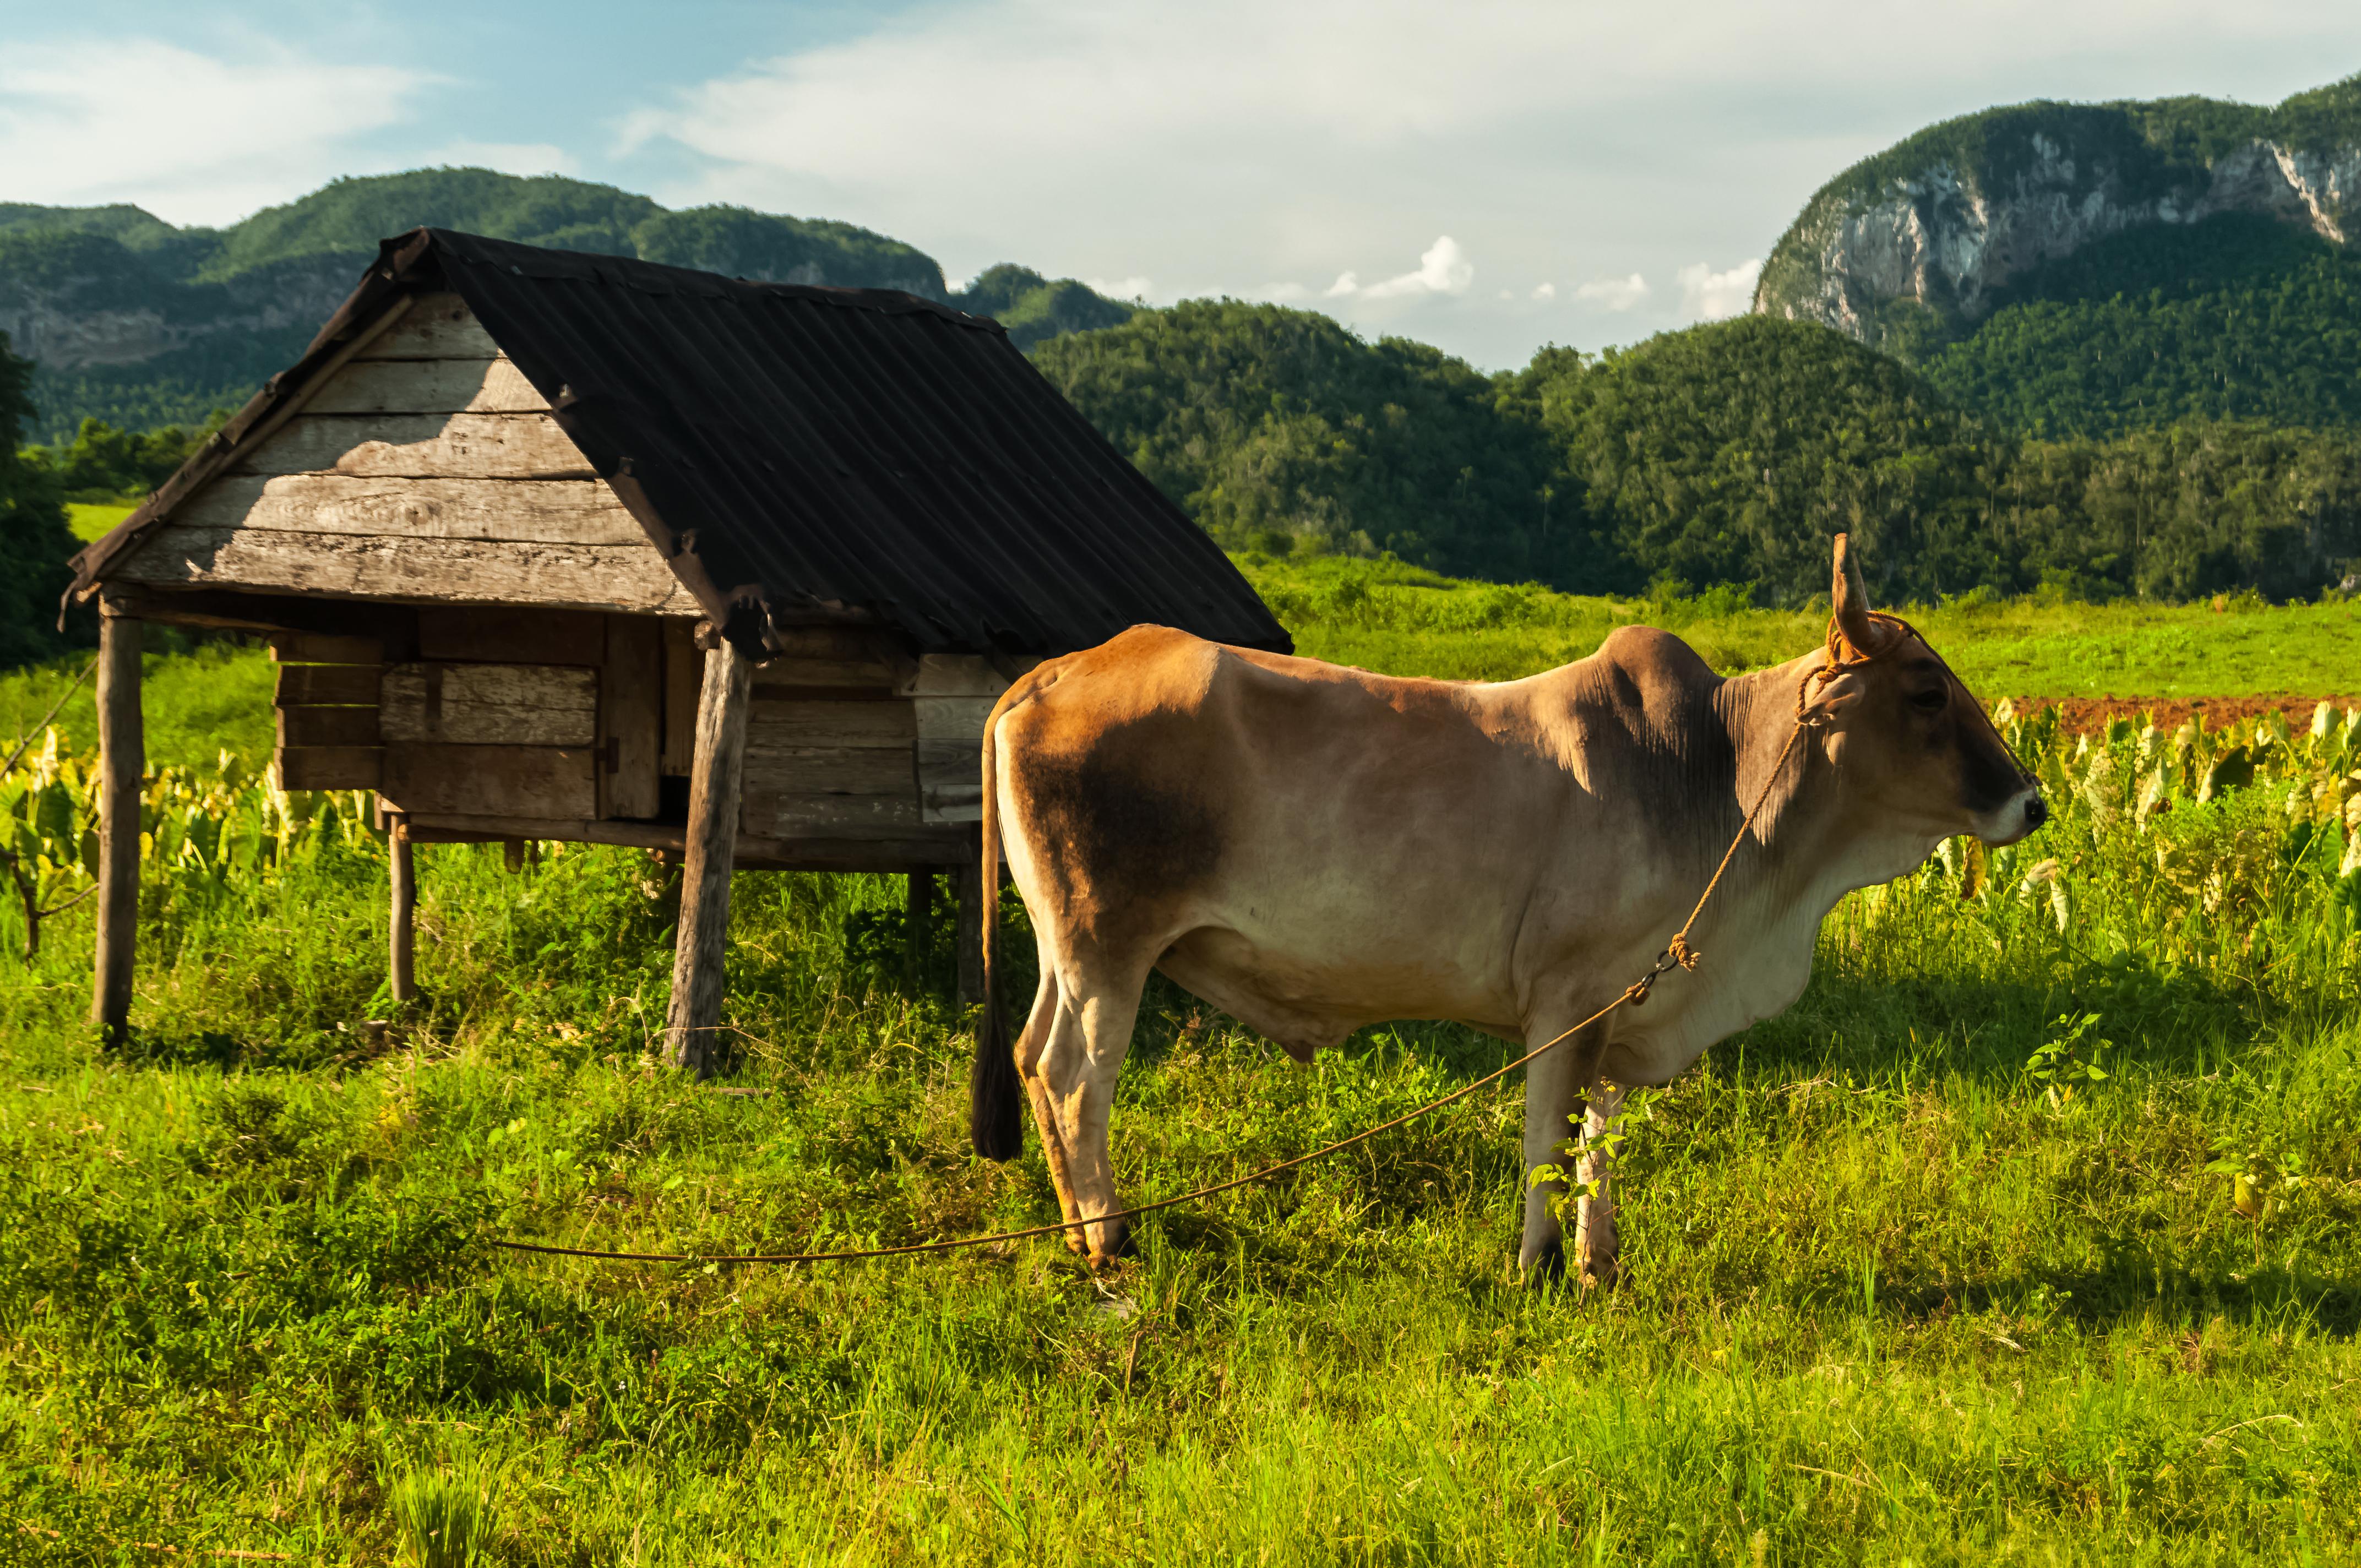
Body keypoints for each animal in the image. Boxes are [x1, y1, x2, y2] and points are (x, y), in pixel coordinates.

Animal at [968, 533, 2039, 1284]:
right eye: (1925, 689)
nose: (2031, 801)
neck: (1715, 773)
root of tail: (1049, 675)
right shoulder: (1565, 1000)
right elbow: (1546, 1143)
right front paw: (1536, 1268)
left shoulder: (1623, 1001)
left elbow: (1599, 1136)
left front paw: (1600, 1264)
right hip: (1107, 947)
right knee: (1075, 1077)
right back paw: (1107, 1243)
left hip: (1067, 952)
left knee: (1032, 1056)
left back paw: (1075, 1227)